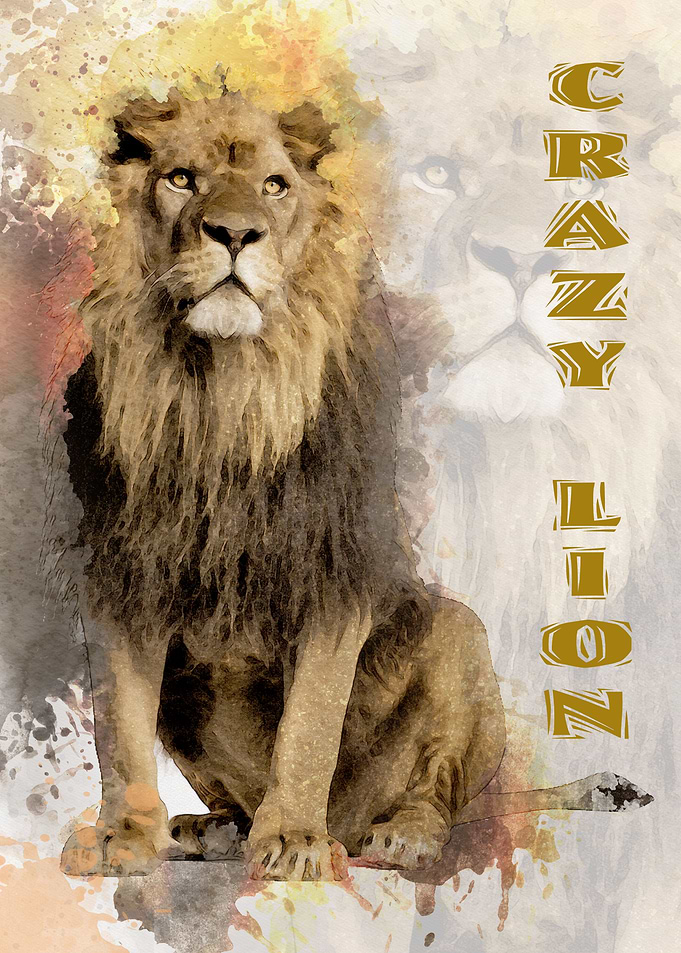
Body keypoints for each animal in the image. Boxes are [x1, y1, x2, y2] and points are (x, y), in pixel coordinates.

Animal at [56, 85, 650, 884]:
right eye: (181, 179)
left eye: (275, 186)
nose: (235, 234)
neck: (224, 393)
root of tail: (353, 819)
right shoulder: (126, 577)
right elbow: (120, 726)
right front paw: (122, 836)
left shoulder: (336, 570)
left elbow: (309, 725)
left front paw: (293, 841)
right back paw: (212, 829)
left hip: (460, 633)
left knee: (441, 793)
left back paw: (396, 835)